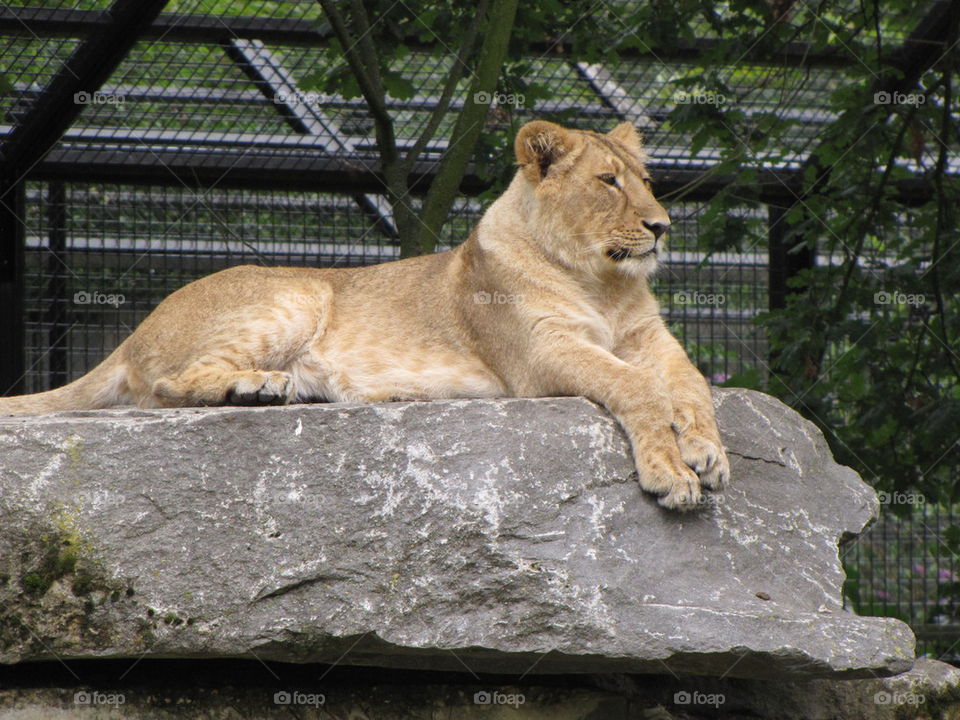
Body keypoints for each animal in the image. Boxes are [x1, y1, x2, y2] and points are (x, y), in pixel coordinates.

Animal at [0, 120, 729, 509]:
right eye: (608, 182)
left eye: (647, 181)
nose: (662, 228)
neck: (601, 282)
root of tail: (132, 334)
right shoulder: (540, 355)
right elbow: (636, 387)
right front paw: (671, 474)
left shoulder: (651, 340)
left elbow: (689, 384)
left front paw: (708, 452)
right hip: (297, 295)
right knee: (164, 386)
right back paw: (258, 387)